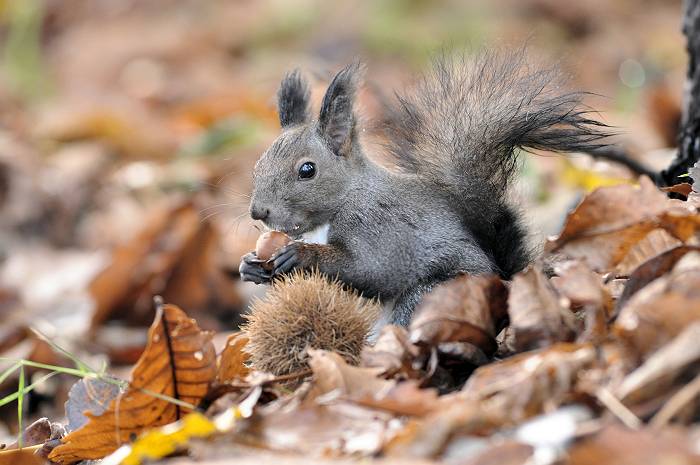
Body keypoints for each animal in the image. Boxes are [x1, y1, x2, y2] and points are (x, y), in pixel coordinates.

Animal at [238, 50, 608, 324]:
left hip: (433, 294)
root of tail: (505, 279)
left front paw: (301, 254)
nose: (258, 212)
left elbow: (371, 269)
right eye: (257, 165)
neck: (345, 200)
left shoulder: (380, 228)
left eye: (307, 170)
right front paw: (250, 265)